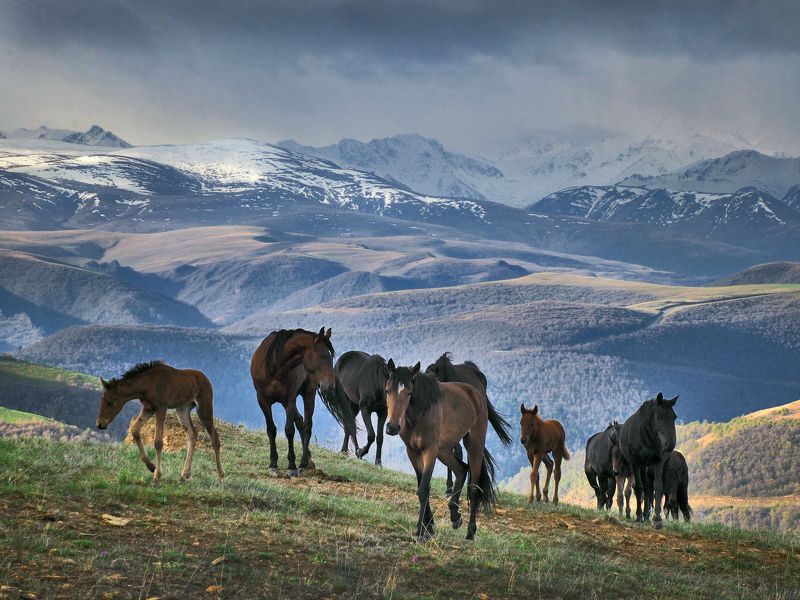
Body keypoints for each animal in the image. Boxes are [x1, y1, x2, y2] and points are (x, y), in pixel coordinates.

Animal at [250, 328, 335, 476]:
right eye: (322, 355)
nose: (331, 385)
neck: (274, 367)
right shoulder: (263, 401)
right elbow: (271, 430)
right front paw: (273, 464)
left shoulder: (290, 400)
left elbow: (289, 430)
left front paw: (291, 466)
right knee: (300, 421)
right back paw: (308, 459)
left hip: (308, 394)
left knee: (307, 426)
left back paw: (303, 462)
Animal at [618, 392, 678, 528]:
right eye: (659, 416)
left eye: (674, 417)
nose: (670, 444)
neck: (647, 437)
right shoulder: (635, 463)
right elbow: (639, 488)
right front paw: (638, 518)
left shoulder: (658, 462)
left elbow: (658, 487)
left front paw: (657, 519)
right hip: (641, 466)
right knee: (644, 488)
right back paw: (643, 516)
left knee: (649, 489)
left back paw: (647, 516)